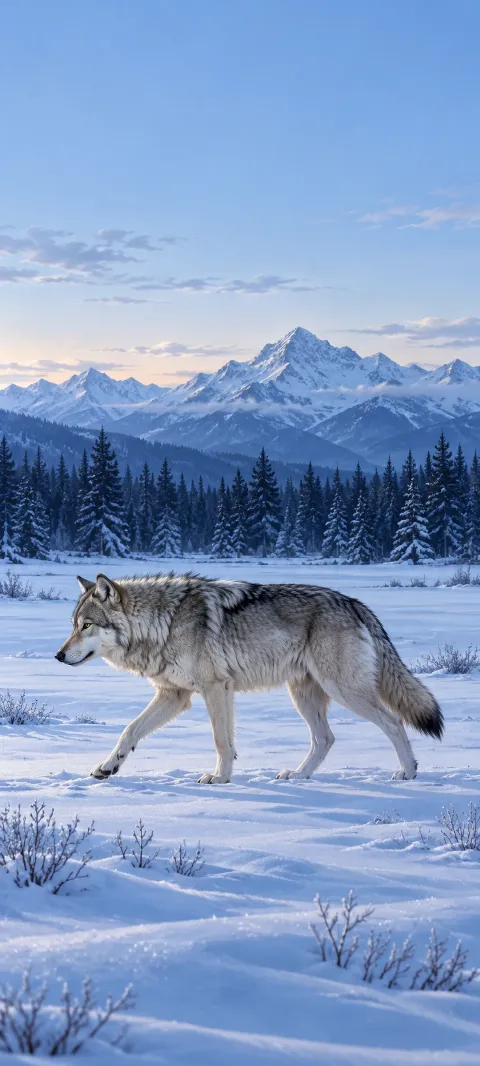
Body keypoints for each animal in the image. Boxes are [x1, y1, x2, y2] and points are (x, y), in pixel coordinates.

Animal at [55, 572, 443, 784]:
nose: (58, 656)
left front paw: (220, 778)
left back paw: (408, 772)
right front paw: (107, 767)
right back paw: (298, 776)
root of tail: (355, 602)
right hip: (303, 696)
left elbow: (221, 741)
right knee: (325, 739)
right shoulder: (174, 696)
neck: (161, 623)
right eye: (73, 625)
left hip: (345, 691)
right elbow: (129, 731)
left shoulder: (216, 689)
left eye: (86, 626)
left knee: (393, 722)